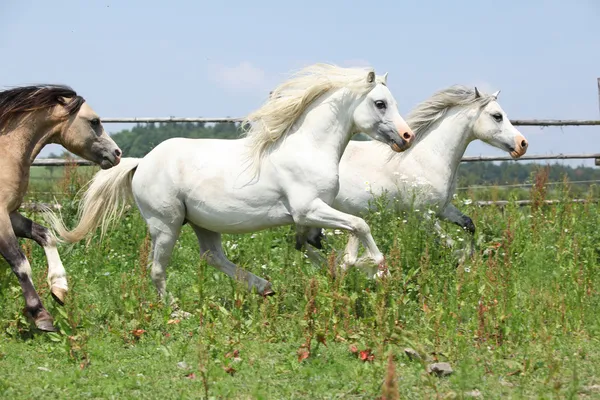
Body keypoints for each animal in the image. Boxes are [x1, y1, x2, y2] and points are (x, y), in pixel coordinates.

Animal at [0, 84, 120, 332]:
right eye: (94, 121)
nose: (117, 153)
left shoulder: (10, 214)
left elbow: (46, 235)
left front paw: (59, 288)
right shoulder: (0, 217)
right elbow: (20, 263)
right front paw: (41, 315)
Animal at [47, 64, 414, 298]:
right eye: (380, 103)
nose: (407, 137)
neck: (307, 147)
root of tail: (141, 162)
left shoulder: (309, 218)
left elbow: (321, 241)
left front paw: (347, 268)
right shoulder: (308, 209)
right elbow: (360, 225)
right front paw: (379, 270)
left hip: (203, 222)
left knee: (212, 257)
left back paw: (264, 287)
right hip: (166, 224)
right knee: (158, 269)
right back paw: (176, 310)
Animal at [298, 85, 528, 266]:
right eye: (497, 116)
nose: (522, 144)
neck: (428, 156)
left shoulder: (442, 209)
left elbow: (469, 225)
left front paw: (470, 256)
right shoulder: (421, 214)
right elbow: (448, 242)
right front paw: (459, 261)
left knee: (310, 241)